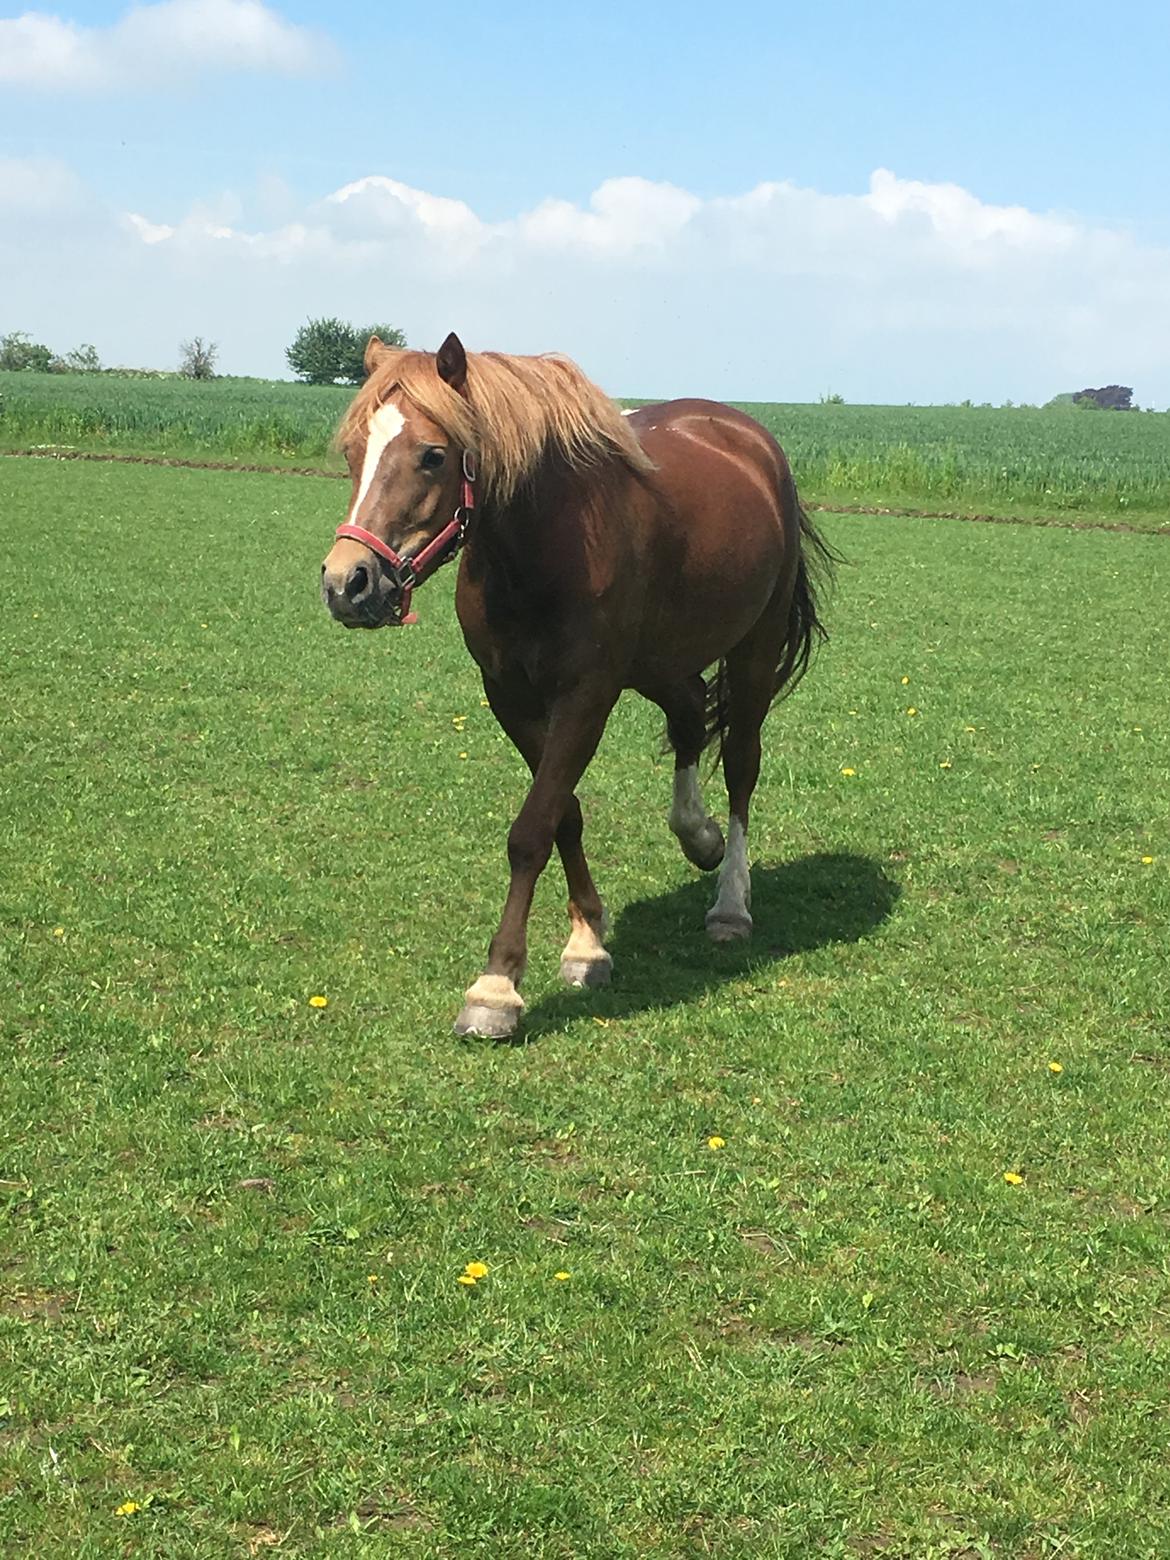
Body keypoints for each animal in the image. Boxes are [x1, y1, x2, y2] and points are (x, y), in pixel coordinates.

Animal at [321, 332, 836, 1035]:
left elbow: (532, 828)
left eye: (433, 455)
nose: (348, 583)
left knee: (740, 764)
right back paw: (695, 836)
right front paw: (587, 942)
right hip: (659, 661)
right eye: (353, 452)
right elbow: (563, 814)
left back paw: (730, 901)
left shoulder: (586, 696)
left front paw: (495, 988)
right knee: (688, 715)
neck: (543, 549)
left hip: (752, 654)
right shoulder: (510, 697)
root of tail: (750, 439)